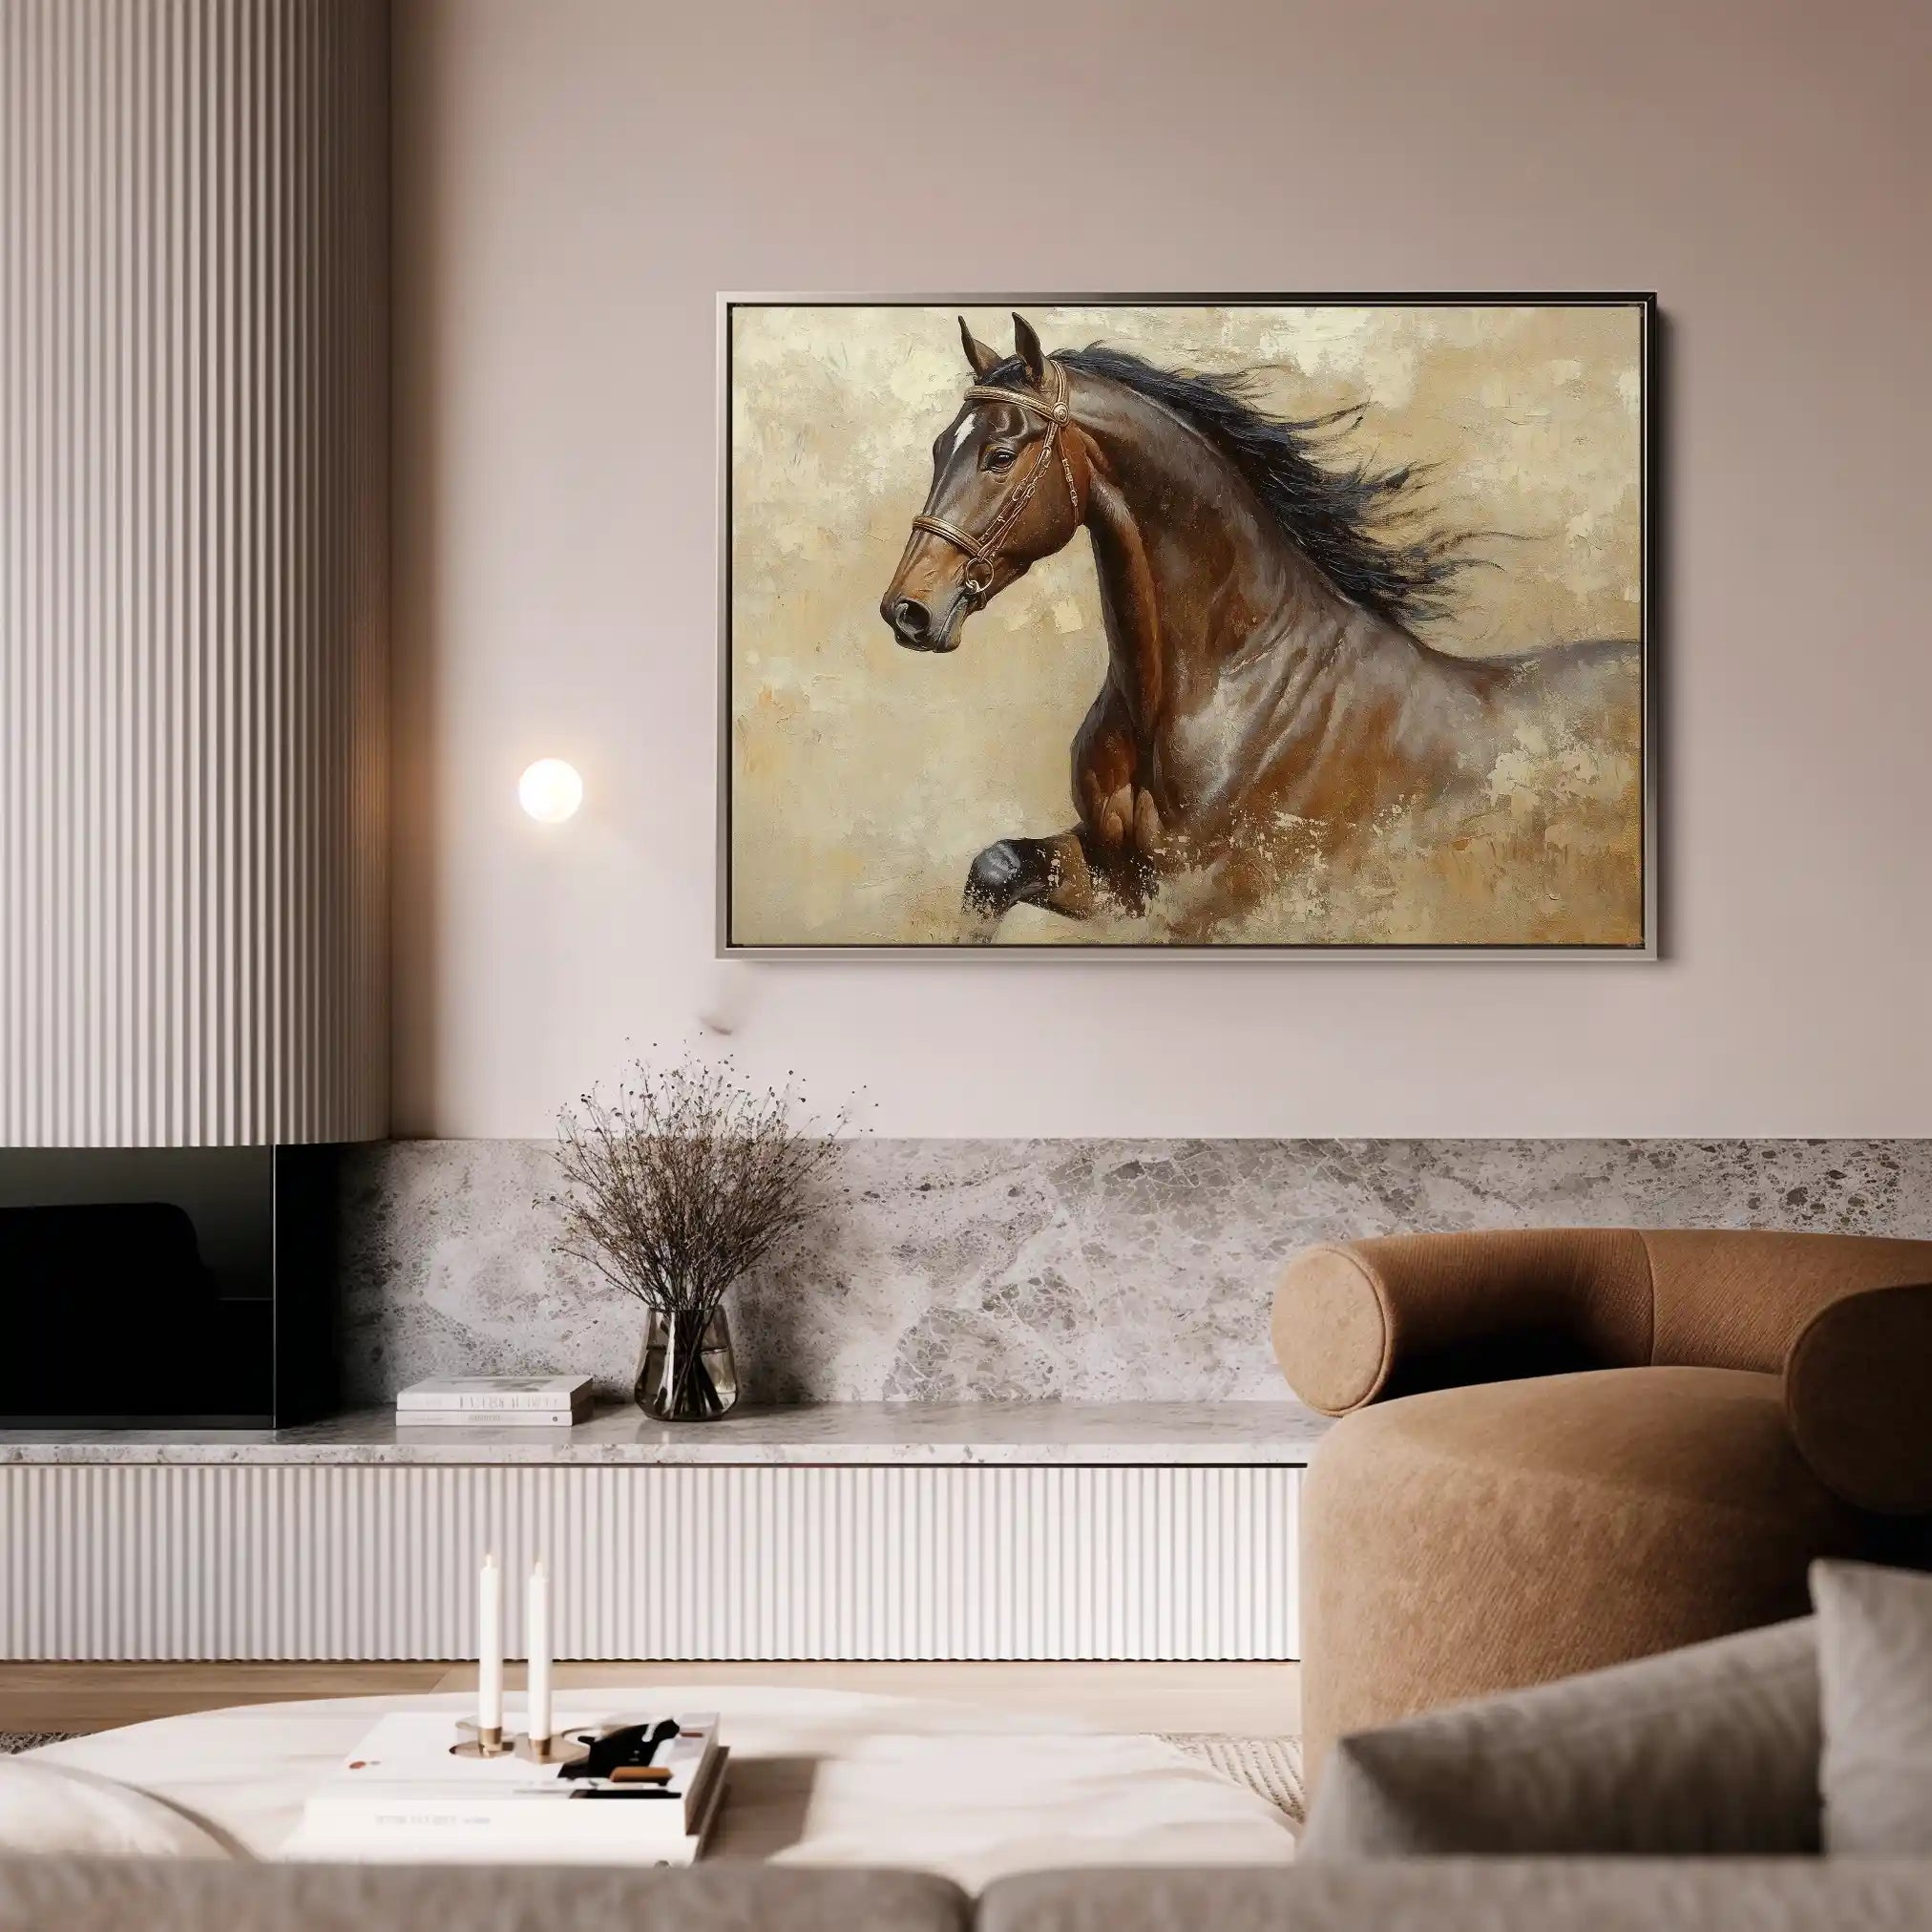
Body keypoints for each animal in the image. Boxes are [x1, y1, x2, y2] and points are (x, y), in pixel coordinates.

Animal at [878, 314, 1642, 944]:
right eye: (941, 446)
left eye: (1000, 455)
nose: (908, 610)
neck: (1222, 688)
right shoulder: (1115, 877)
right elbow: (996, 867)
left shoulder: (1216, 902)